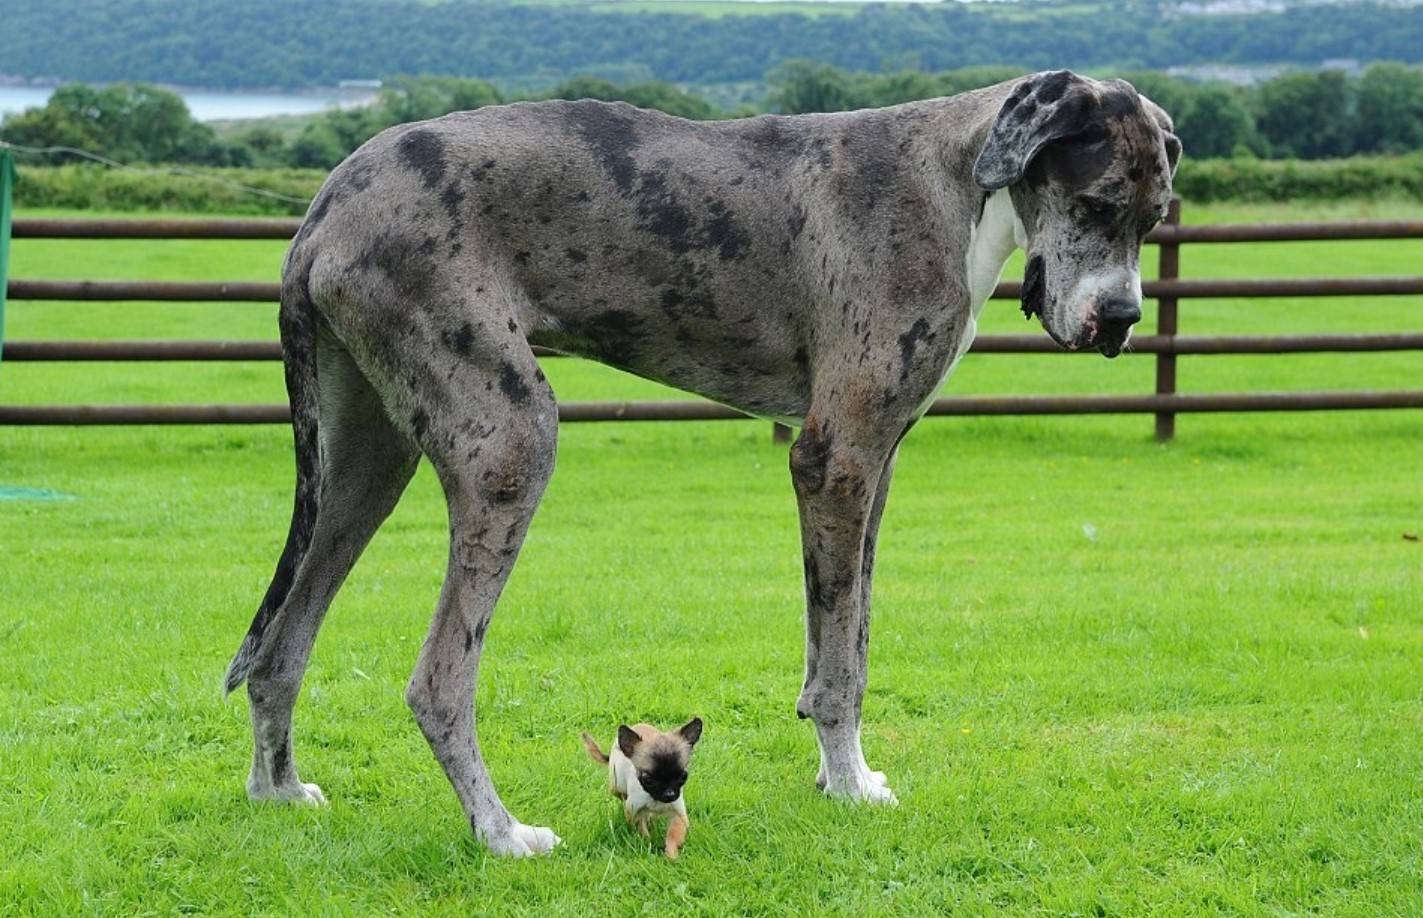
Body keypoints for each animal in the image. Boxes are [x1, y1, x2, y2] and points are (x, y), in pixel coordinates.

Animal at [580, 717, 702, 859]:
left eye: (683, 776)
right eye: (648, 780)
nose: (669, 794)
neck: (656, 800)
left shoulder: (678, 814)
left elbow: (673, 836)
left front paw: (671, 855)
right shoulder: (634, 811)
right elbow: (641, 829)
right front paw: (648, 843)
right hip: (616, 786)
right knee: (622, 796)